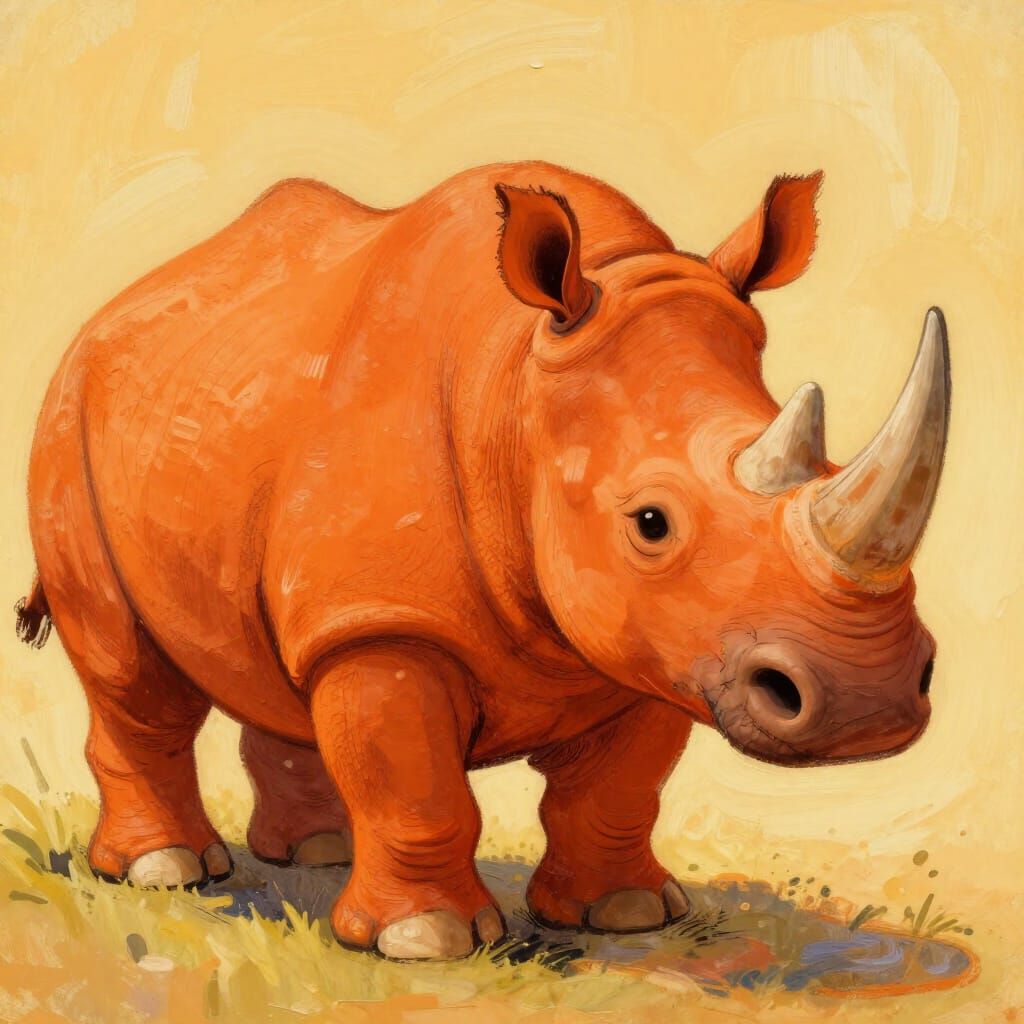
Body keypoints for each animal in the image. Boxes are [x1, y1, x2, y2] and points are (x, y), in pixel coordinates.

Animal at [19, 162, 949, 960]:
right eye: (650, 523)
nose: (868, 702)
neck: (516, 388)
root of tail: (105, 315)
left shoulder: (662, 639)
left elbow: (618, 787)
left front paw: (625, 913)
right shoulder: (391, 621)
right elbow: (416, 784)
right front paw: (425, 939)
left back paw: (316, 854)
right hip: (68, 423)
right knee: (130, 673)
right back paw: (166, 872)